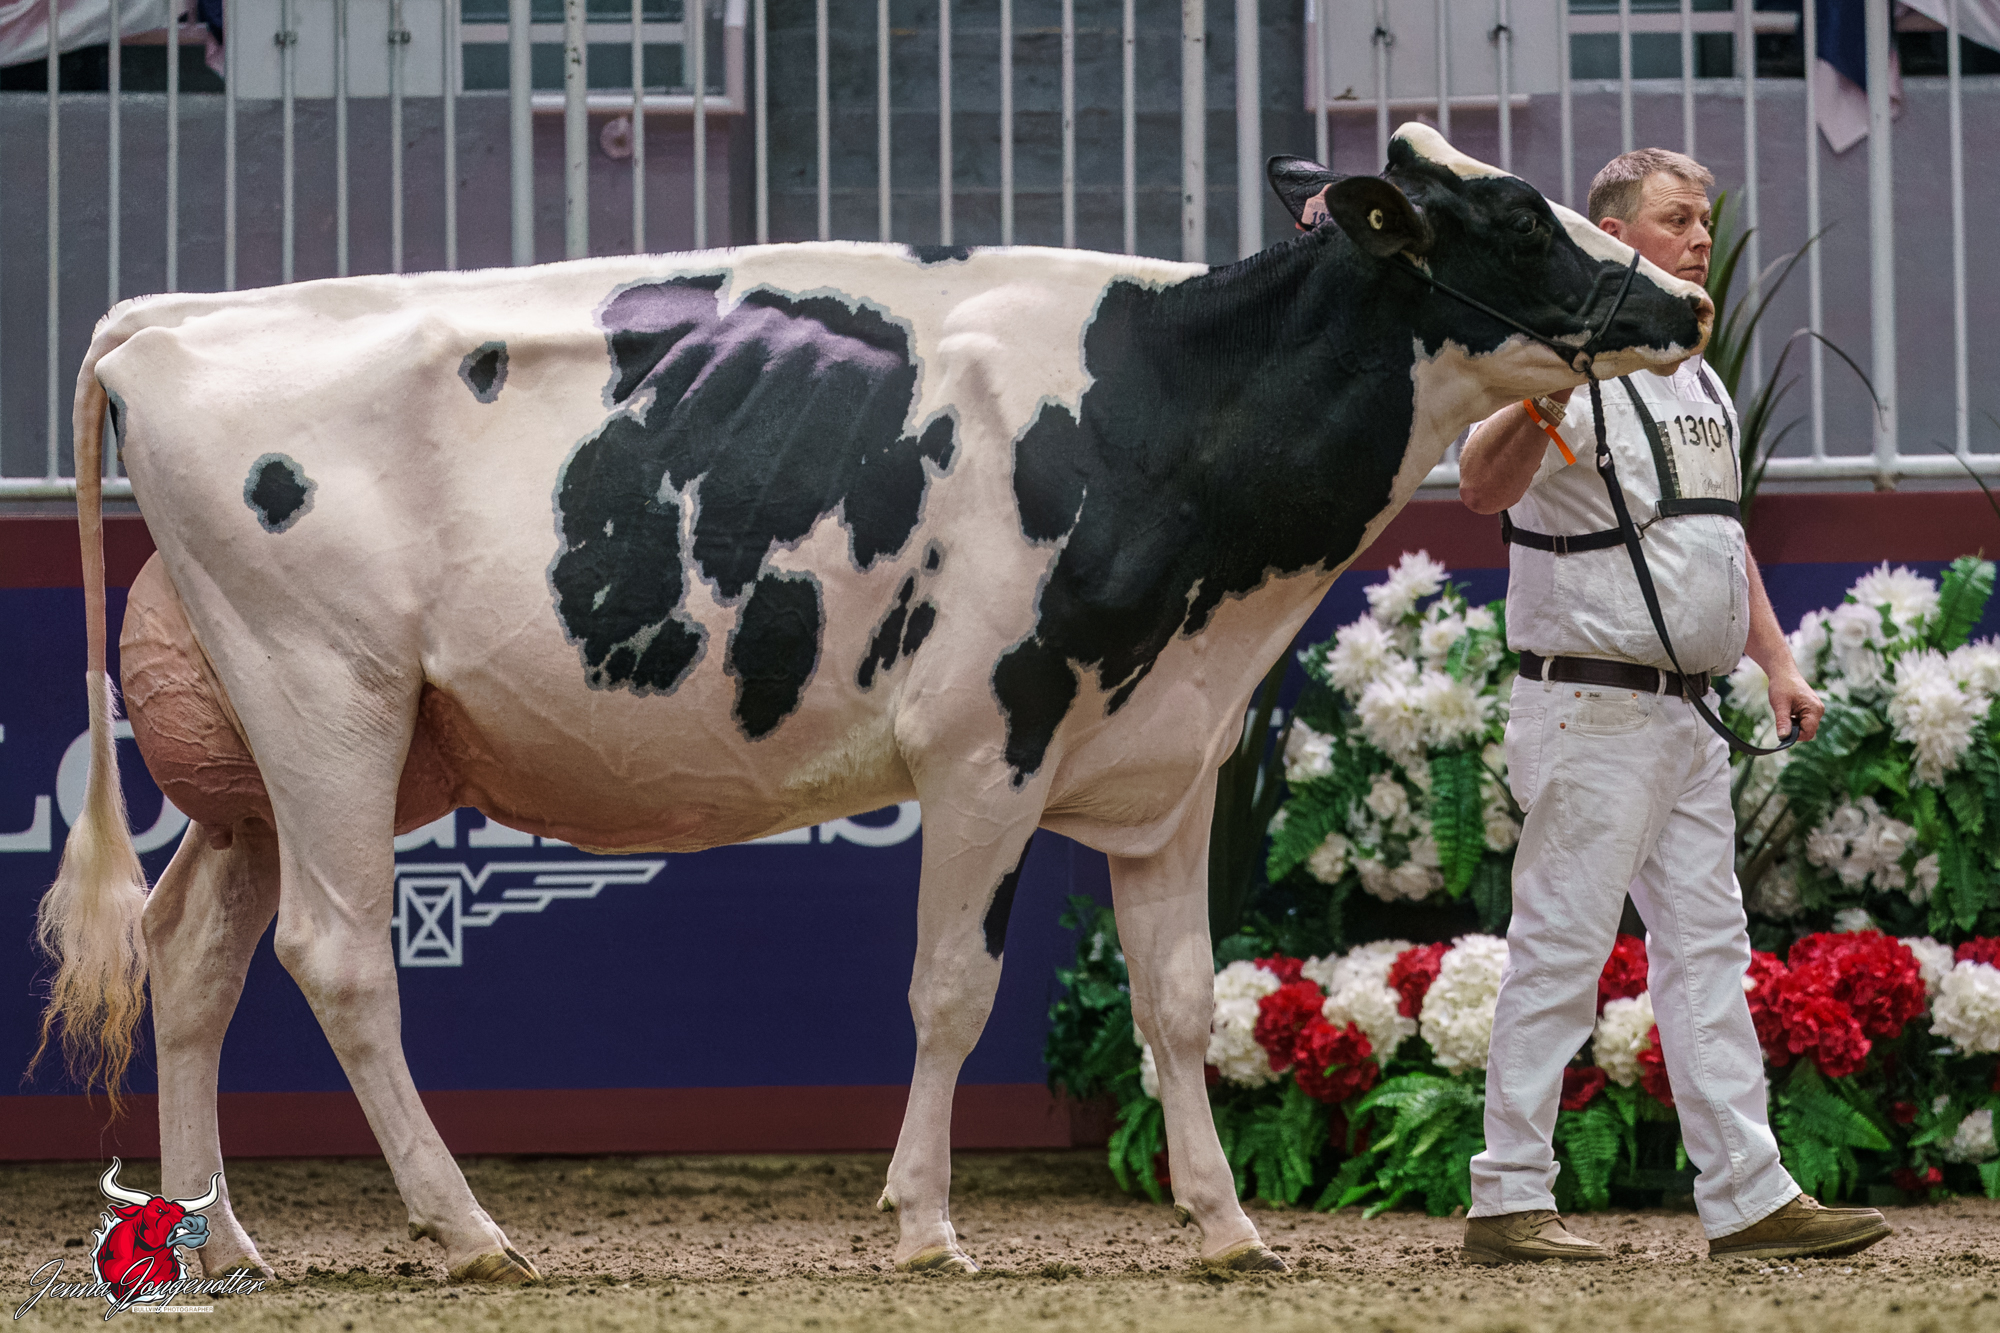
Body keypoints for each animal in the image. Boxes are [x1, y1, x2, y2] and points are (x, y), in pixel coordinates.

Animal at [33, 125, 1710, 1282]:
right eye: (1513, 216)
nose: (1690, 300)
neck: (1161, 409)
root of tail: (174, 317)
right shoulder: (987, 740)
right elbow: (950, 989)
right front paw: (923, 1222)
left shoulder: (1165, 754)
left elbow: (1178, 995)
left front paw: (1227, 1223)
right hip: (331, 699)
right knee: (338, 958)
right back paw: (470, 1231)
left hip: (260, 761)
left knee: (190, 957)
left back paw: (217, 1242)